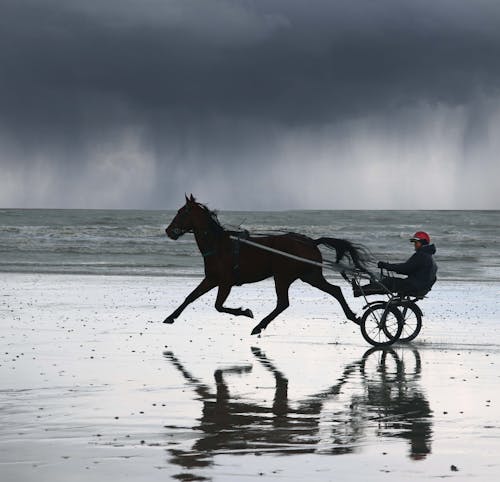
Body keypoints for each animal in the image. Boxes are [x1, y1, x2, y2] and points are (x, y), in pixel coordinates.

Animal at [162, 193, 370, 336]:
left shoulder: (225, 282)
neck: (219, 245)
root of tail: (310, 242)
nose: (169, 231)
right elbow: (190, 297)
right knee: (335, 290)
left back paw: (259, 325)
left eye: (182, 212)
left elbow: (218, 306)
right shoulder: (212, 279)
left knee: (283, 303)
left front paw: (245, 312)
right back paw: (352, 316)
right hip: (310, 276)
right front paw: (170, 317)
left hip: (283, 276)